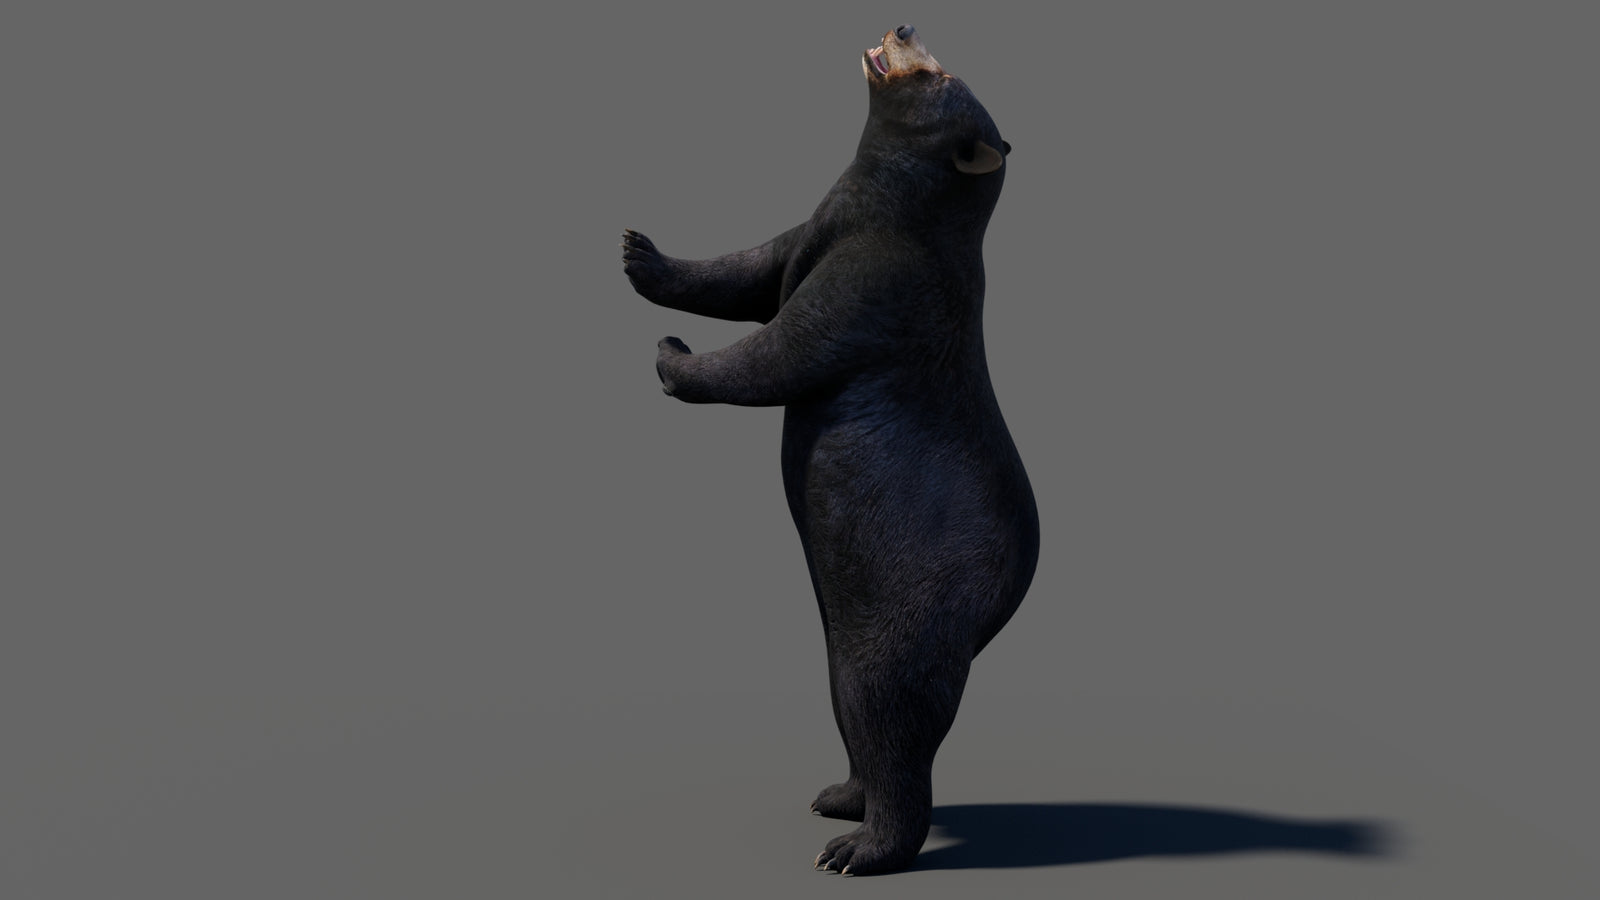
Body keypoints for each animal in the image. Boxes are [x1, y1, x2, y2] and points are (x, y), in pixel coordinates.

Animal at [621, 24, 1038, 875]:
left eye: (938, 74)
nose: (903, 27)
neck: (889, 206)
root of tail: (1000, 606)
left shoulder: (883, 277)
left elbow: (786, 346)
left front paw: (673, 356)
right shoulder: (816, 229)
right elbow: (751, 270)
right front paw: (640, 251)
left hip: (914, 604)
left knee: (890, 708)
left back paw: (859, 848)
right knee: (855, 707)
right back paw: (839, 797)